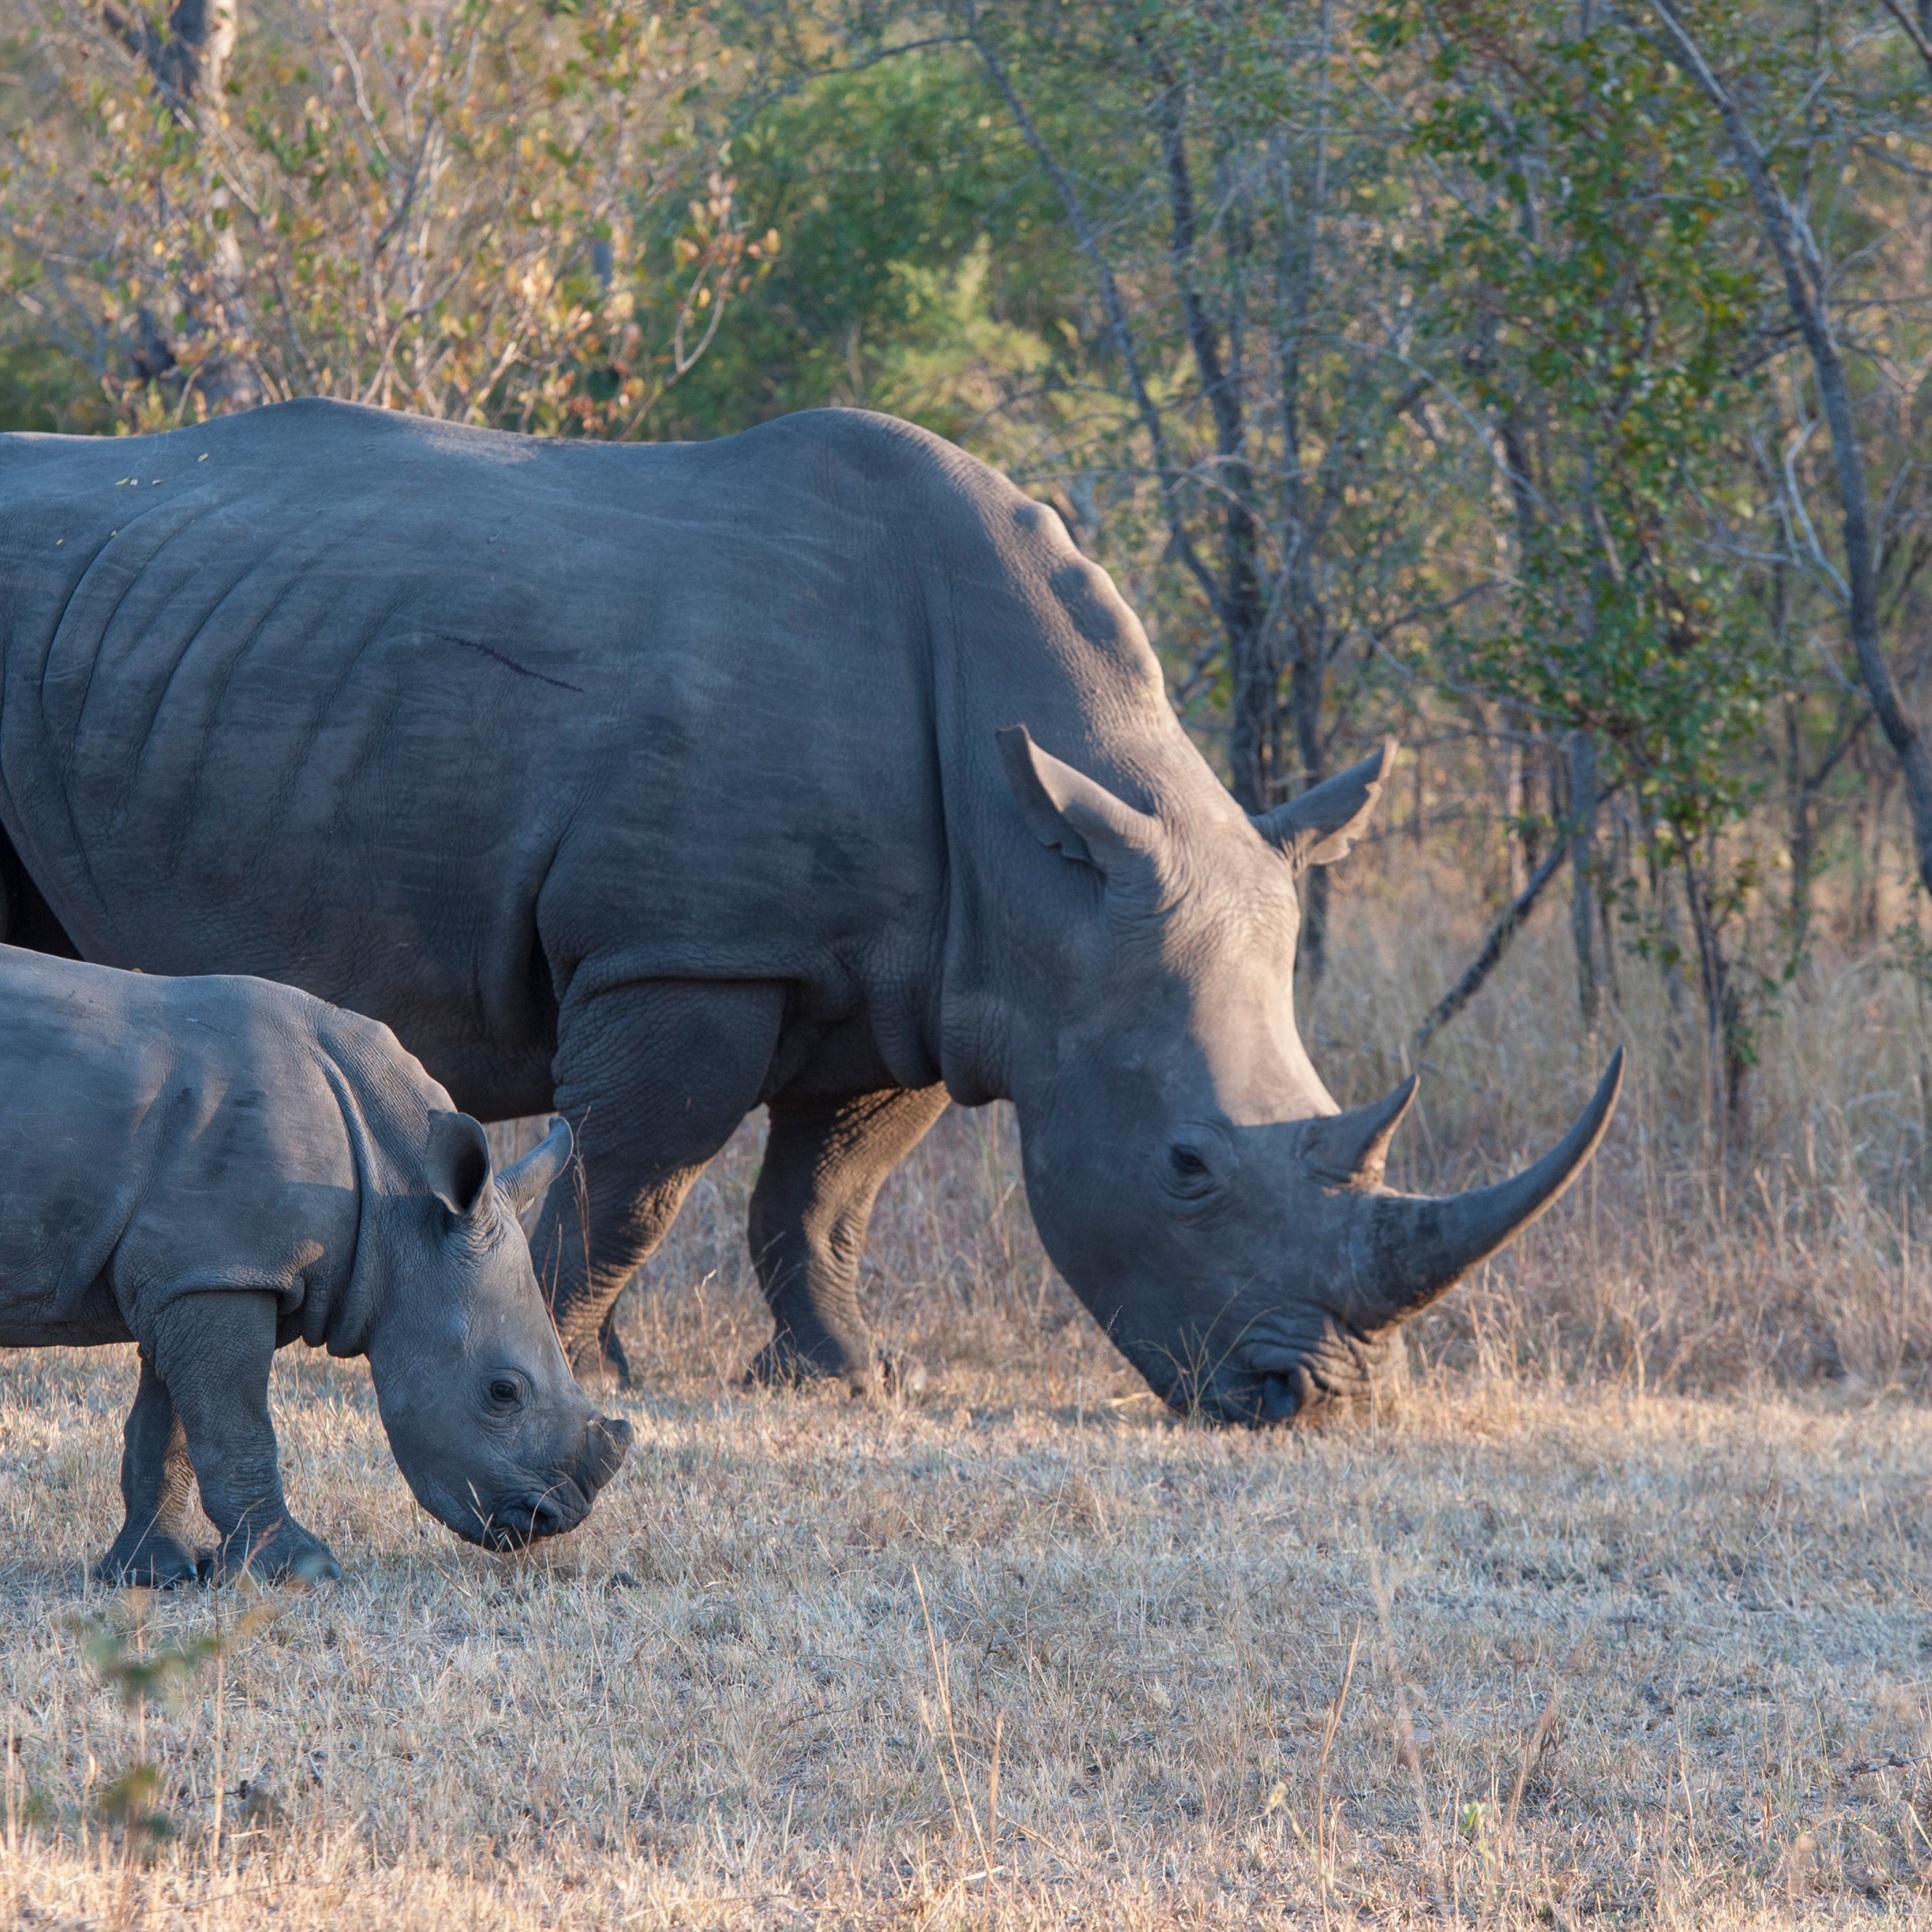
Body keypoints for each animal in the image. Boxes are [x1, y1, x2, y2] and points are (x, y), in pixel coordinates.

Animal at [0, 401, 1619, 1425]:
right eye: (1187, 1168)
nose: (1313, 1403)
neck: (1045, 845)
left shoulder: (923, 981)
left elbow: (824, 1194)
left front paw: (845, 1379)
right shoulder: (691, 952)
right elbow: (640, 1175)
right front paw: (580, 1367)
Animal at [0, 943, 631, 1583]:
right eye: (503, 1392)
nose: (553, 1520)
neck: (397, 1196)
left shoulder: (196, 1271)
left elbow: (170, 1427)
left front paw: (152, 1576)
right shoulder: (224, 1274)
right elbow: (237, 1427)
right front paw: (299, 1570)